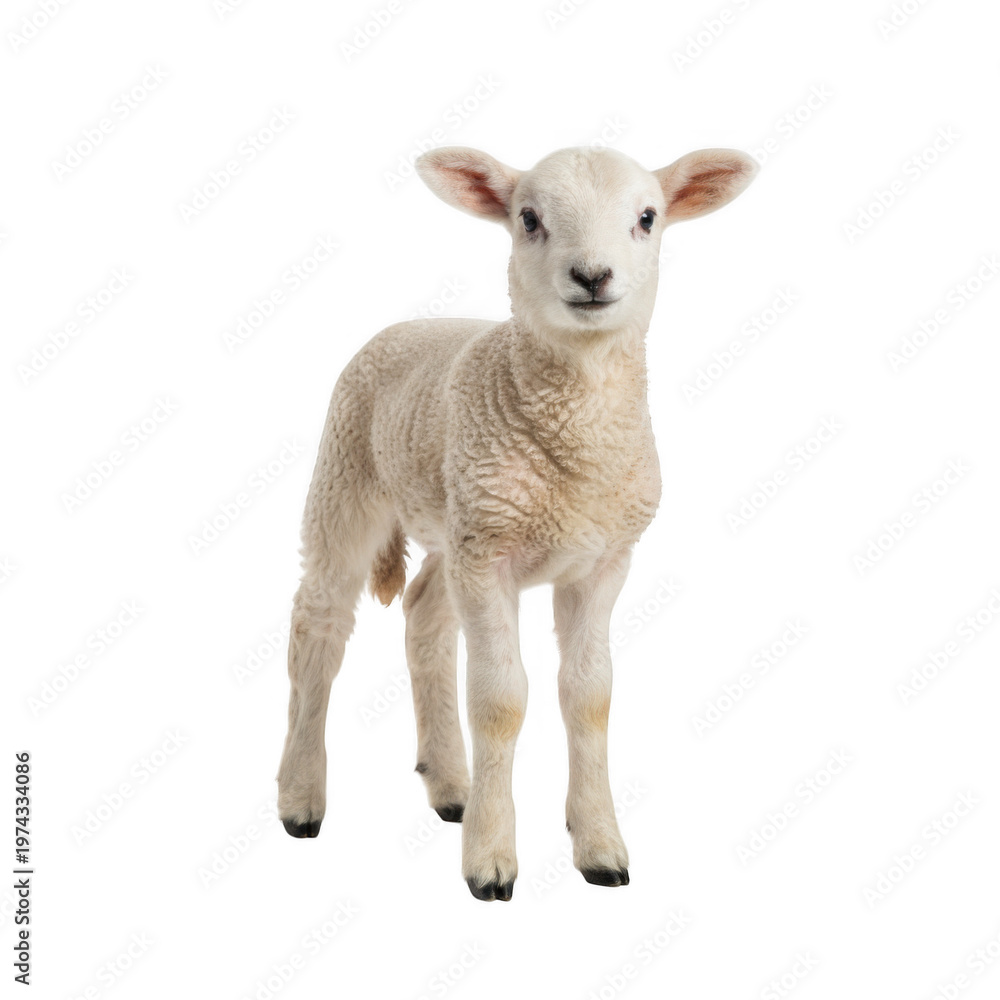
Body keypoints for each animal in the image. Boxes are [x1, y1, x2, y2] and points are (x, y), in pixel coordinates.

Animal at [276, 144, 758, 901]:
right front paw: (491, 860)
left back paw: (450, 785)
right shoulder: (493, 557)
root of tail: (414, 323)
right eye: (528, 218)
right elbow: (500, 701)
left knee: (423, 615)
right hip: (348, 481)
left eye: (648, 217)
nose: (592, 276)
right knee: (318, 628)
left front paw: (599, 845)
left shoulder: (600, 560)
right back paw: (300, 798)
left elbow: (589, 696)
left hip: (458, 521)